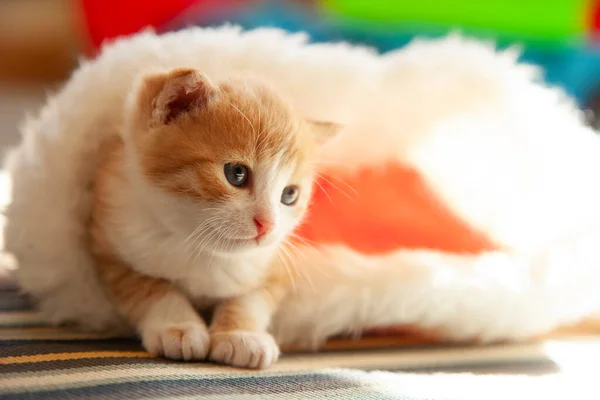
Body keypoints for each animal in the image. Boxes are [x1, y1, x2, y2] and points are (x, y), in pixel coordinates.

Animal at [91, 66, 340, 368]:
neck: (201, 250)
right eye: (236, 173)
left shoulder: (275, 263)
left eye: (289, 194)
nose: (267, 224)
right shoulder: (110, 243)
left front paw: (241, 335)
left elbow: (251, 299)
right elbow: (148, 288)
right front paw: (178, 327)